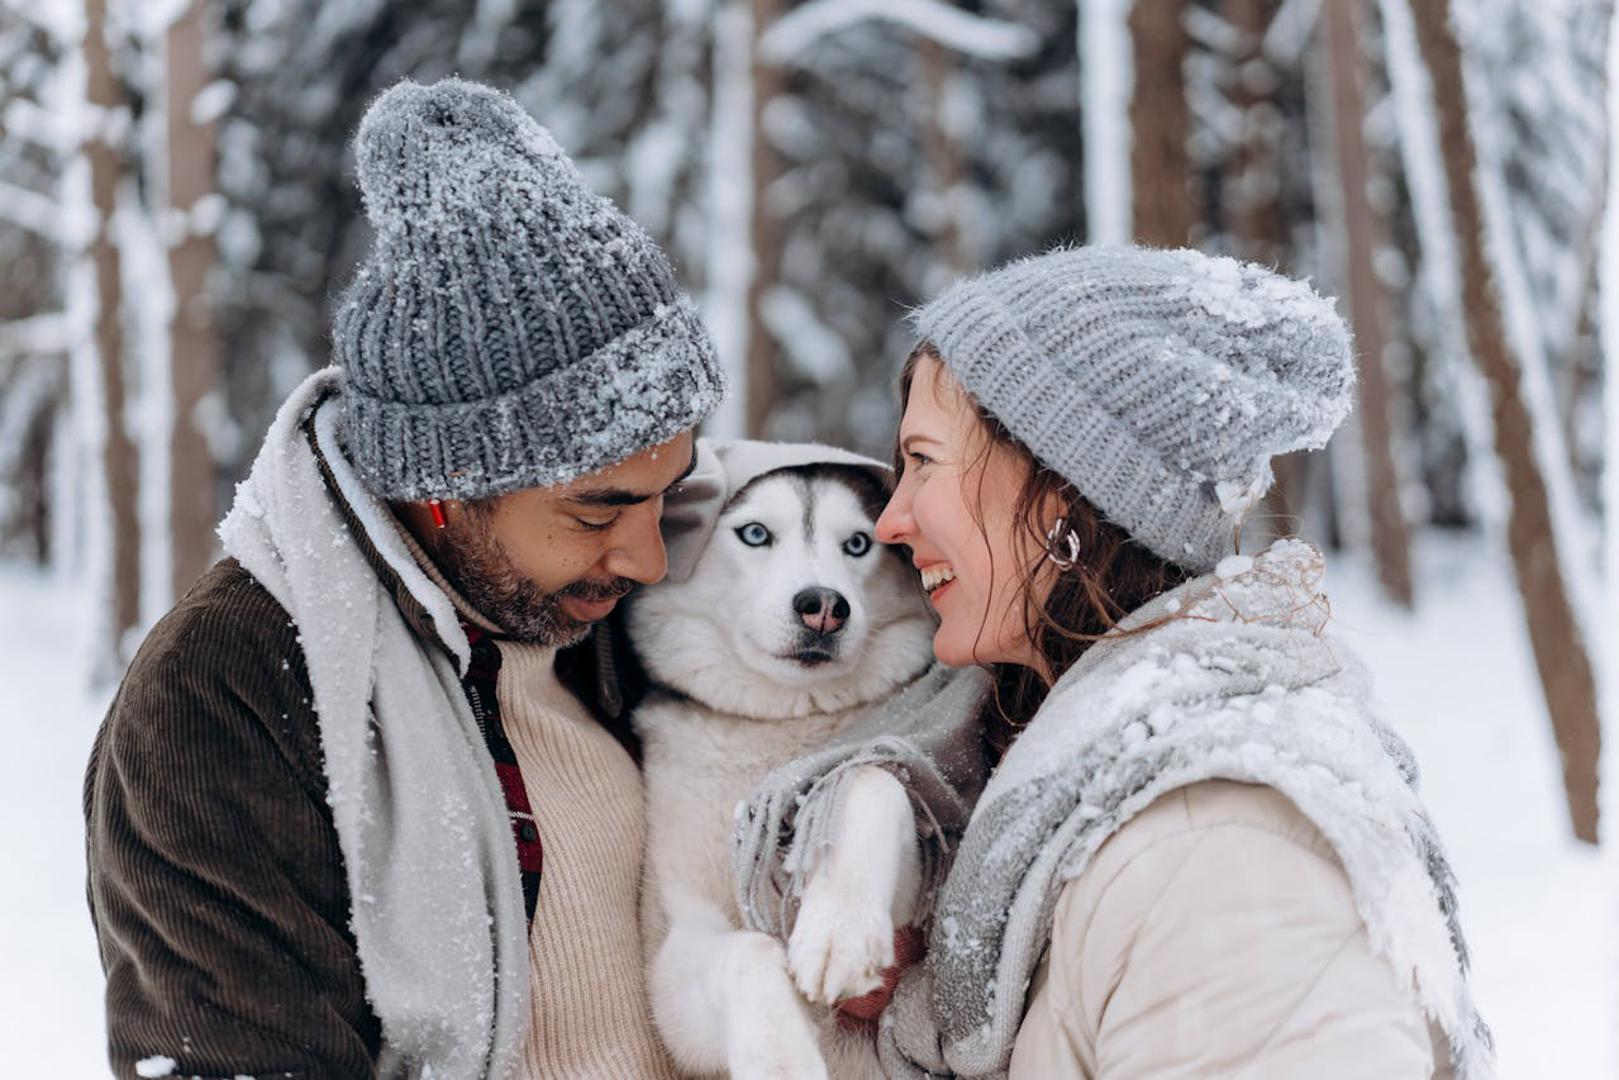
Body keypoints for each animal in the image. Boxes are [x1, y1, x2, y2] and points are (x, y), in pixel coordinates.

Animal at [628, 440, 939, 1080]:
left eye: (858, 543)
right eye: (754, 534)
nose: (823, 605)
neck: (786, 723)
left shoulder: (913, 904)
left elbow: (867, 778)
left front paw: (839, 928)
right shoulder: (674, 946)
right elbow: (747, 949)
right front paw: (780, 1056)